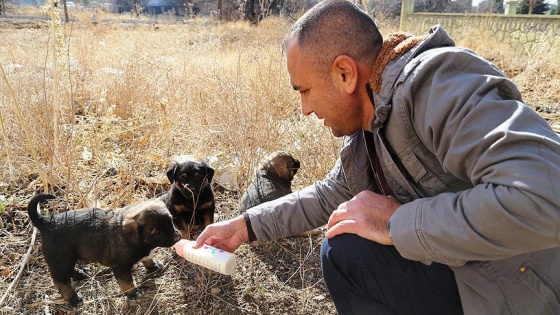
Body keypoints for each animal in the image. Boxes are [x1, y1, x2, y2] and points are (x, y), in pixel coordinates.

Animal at [27, 194, 180, 308]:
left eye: (171, 221)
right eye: (157, 232)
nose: (178, 237)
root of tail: (46, 222)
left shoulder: (143, 253)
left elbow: (147, 258)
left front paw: (154, 266)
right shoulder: (121, 268)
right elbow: (127, 283)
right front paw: (133, 293)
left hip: (66, 259)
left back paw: (82, 273)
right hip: (61, 260)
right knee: (61, 282)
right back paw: (74, 299)